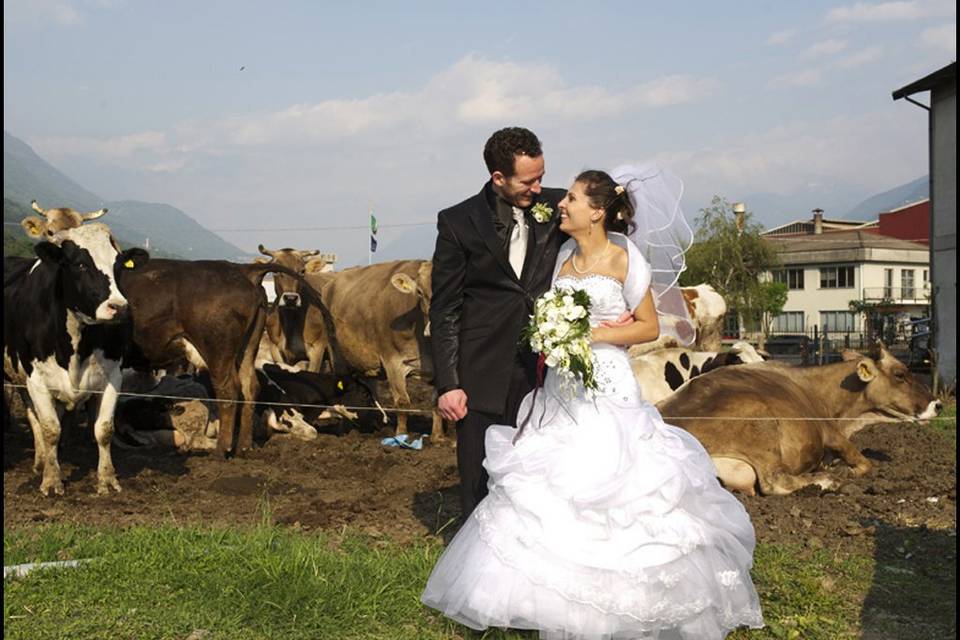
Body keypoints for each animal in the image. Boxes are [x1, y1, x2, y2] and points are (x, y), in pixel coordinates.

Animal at [3, 222, 148, 498]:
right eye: (81, 264)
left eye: (118, 265)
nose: (119, 308)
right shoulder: (37, 378)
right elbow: (51, 428)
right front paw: (52, 481)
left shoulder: (113, 376)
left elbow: (104, 429)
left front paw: (107, 479)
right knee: (35, 417)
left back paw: (40, 461)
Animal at [656, 344, 940, 496]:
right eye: (900, 374)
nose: (938, 404)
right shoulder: (831, 434)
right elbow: (864, 463)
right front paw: (843, 471)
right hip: (760, 424)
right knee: (775, 482)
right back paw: (828, 481)